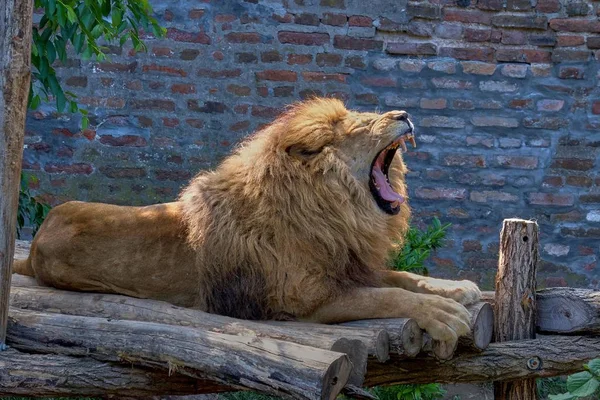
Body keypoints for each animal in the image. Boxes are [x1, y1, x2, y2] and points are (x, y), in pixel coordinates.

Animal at [14, 98, 480, 346]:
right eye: (358, 126)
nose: (403, 114)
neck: (333, 210)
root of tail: (33, 244)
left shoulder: (347, 264)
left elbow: (402, 277)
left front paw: (456, 288)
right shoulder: (304, 302)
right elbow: (385, 297)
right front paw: (442, 312)